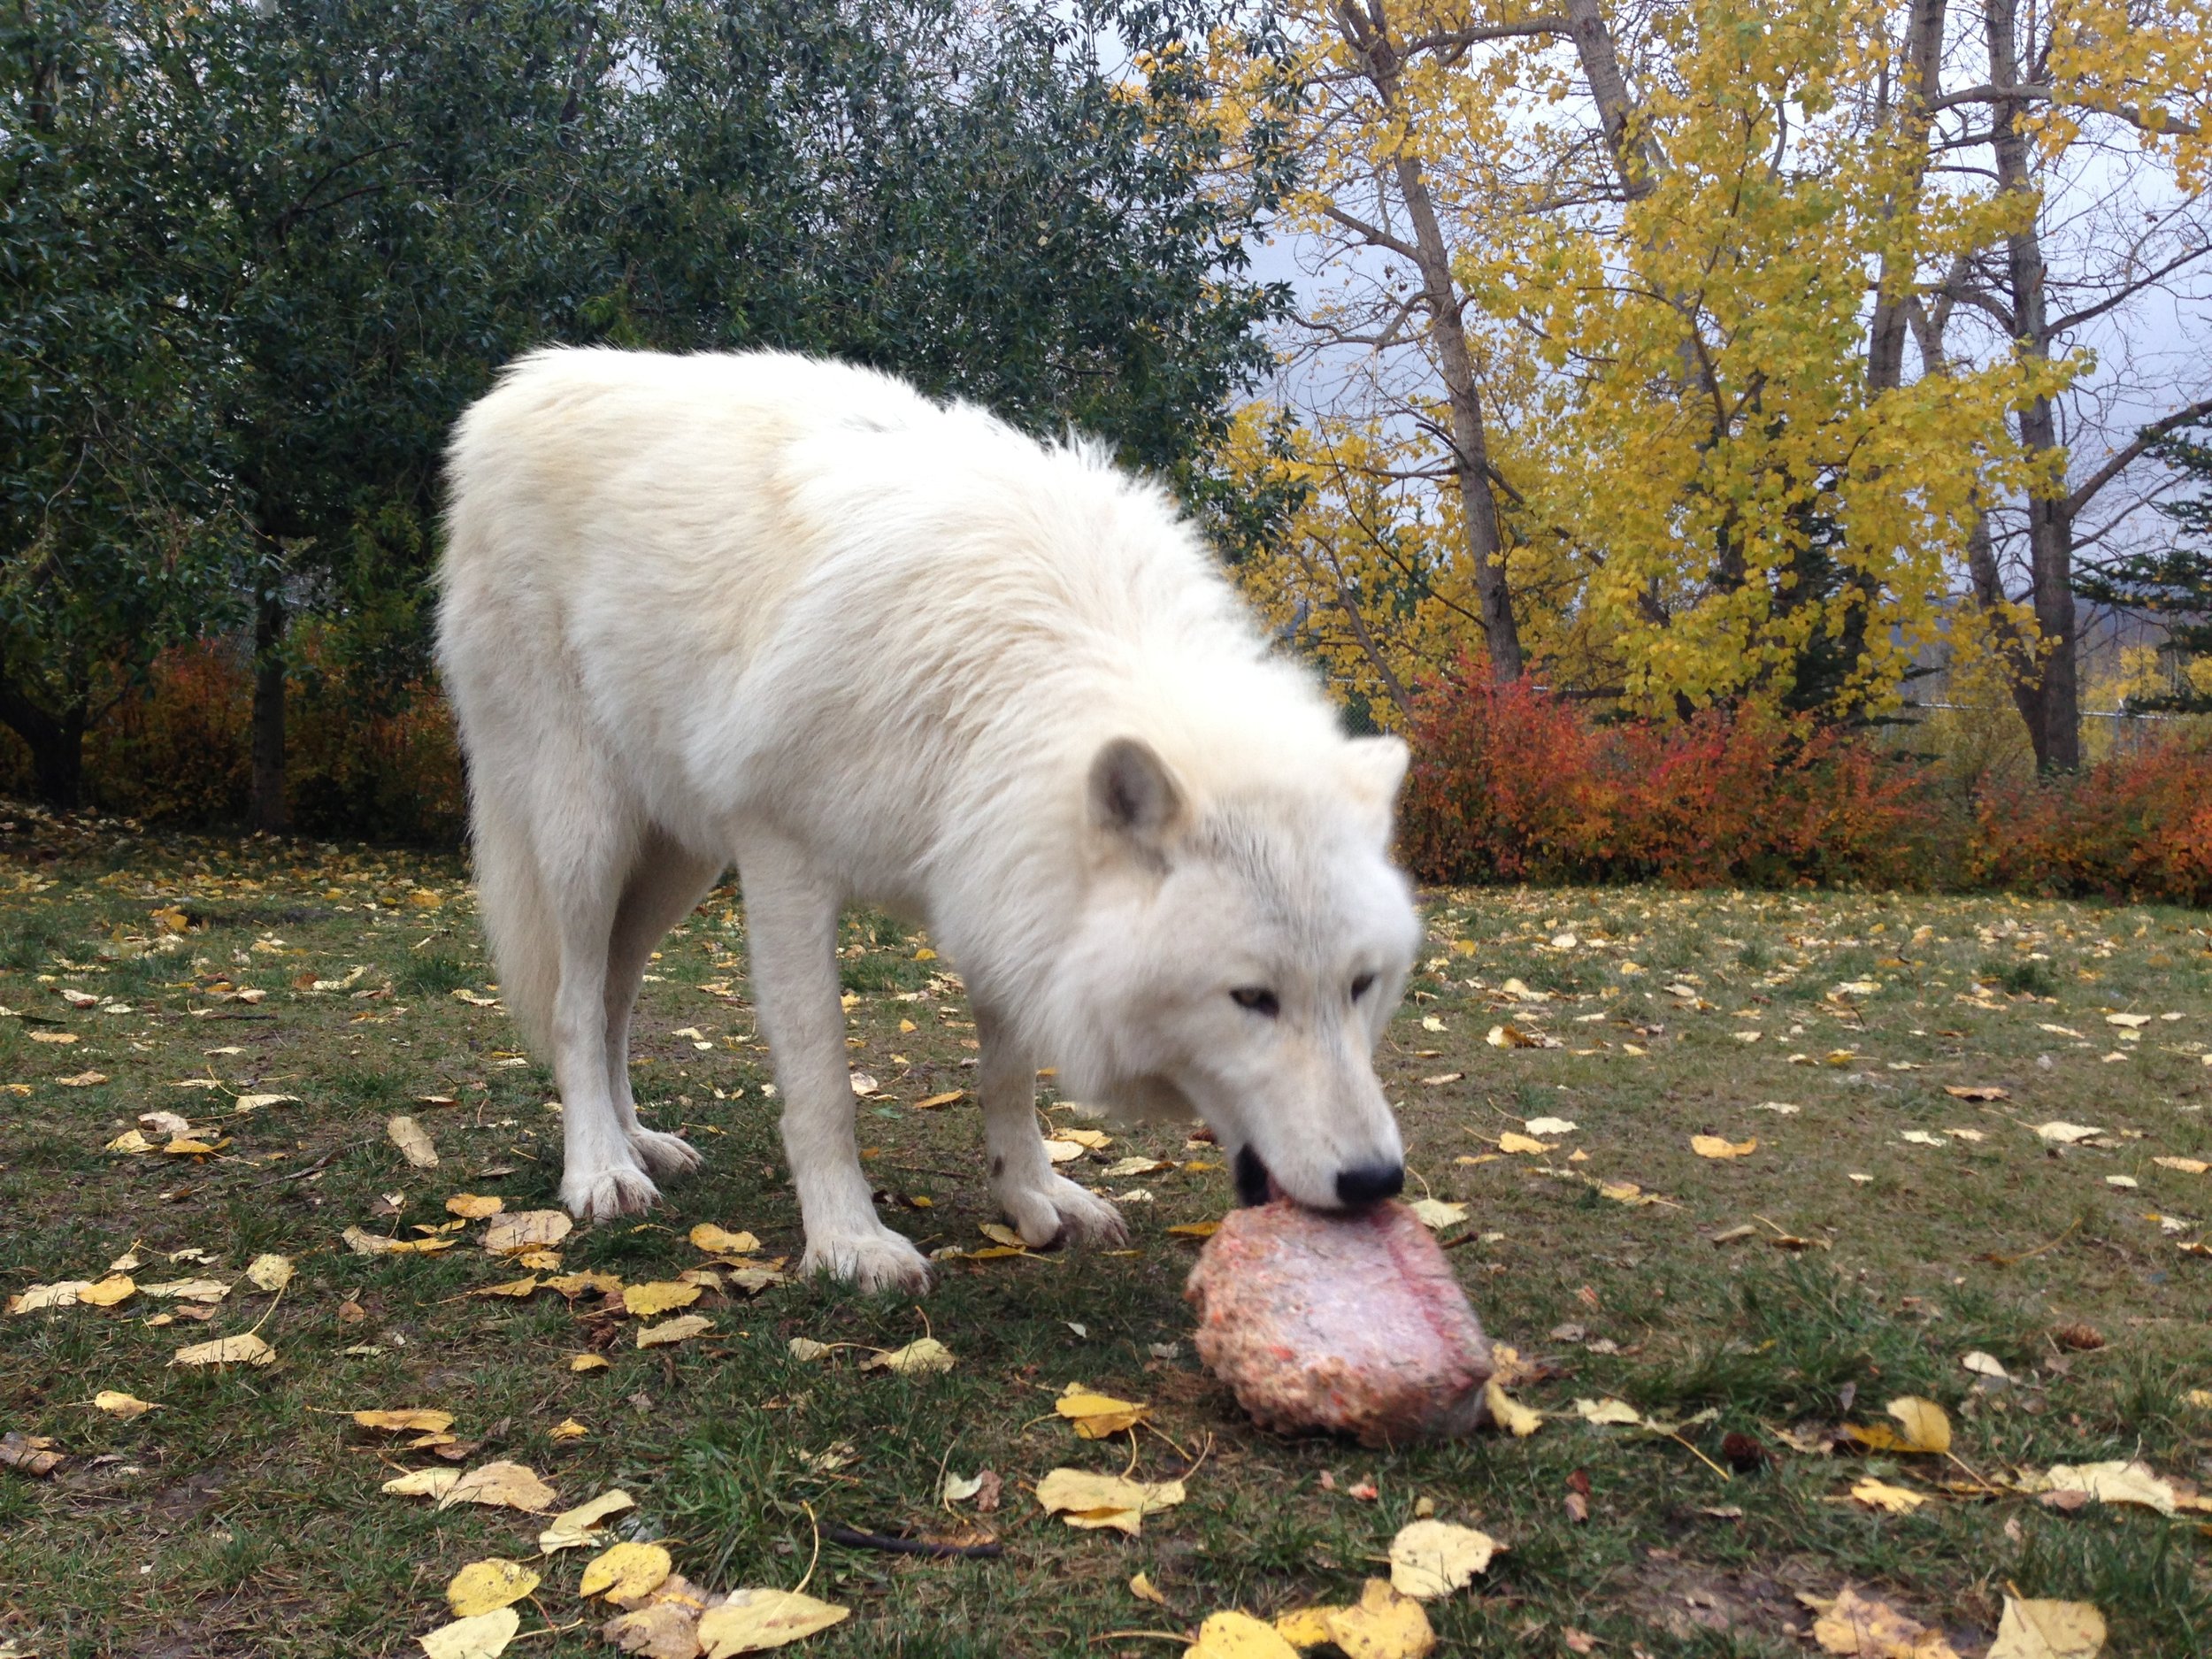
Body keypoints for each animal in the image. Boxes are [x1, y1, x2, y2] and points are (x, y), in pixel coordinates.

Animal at [440, 345, 1425, 1292]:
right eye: (1250, 998)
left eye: (1361, 985)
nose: (1377, 1180)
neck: (1023, 668)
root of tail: (514, 390)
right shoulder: (784, 858)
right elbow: (823, 1080)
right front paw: (848, 1242)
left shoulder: (997, 866)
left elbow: (1008, 1073)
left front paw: (1033, 1196)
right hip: (588, 838)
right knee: (573, 1004)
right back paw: (601, 1170)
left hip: (678, 865)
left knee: (613, 997)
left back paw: (640, 1142)